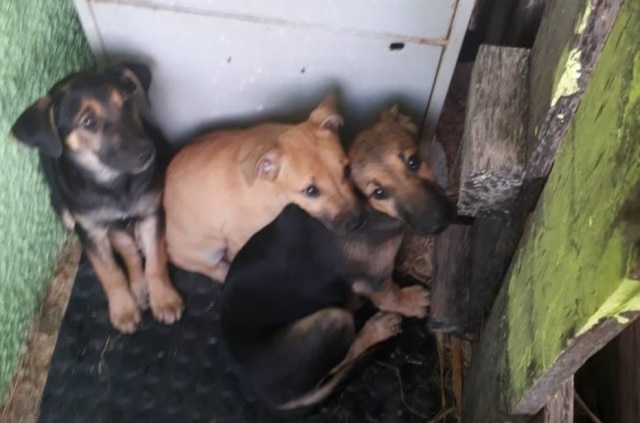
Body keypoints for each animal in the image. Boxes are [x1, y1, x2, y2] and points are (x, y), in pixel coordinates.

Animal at [11, 63, 184, 334]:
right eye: (88, 122)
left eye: (126, 102)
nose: (147, 153)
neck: (114, 183)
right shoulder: (90, 230)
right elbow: (110, 272)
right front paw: (123, 310)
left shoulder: (151, 213)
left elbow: (156, 260)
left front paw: (164, 299)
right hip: (67, 213)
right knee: (125, 247)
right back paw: (137, 287)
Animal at [162, 95, 362, 282]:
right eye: (311, 191)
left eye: (347, 170)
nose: (357, 223)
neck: (272, 189)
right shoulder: (239, 237)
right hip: (205, 251)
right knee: (215, 270)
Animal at [220, 104, 456, 412]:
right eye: (379, 192)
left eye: (414, 161)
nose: (440, 222)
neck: (371, 212)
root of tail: (261, 396)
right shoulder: (375, 278)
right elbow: (391, 295)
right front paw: (409, 301)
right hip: (332, 320)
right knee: (339, 362)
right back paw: (377, 327)